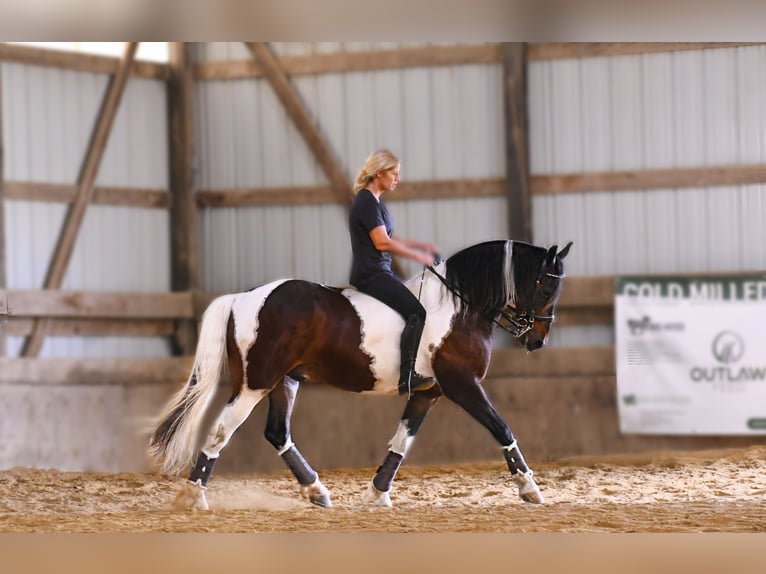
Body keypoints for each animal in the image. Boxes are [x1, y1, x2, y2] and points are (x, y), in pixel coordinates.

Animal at [147, 241, 572, 510]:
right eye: (545, 285)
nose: (538, 339)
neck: (460, 306)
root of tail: (243, 297)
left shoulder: (429, 392)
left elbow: (401, 442)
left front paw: (378, 494)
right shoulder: (463, 385)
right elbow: (502, 429)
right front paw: (530, 489)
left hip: (285, 381)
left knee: (277, 433)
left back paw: (316, 491)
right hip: (256, 384)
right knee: (221, 430)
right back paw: (193, 495)